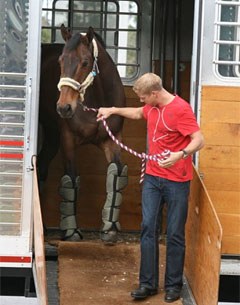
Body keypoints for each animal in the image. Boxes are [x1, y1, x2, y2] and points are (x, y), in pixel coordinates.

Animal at [37, 24, 127, 242]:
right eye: (61, 61)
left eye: (85, 62)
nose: (64, 107)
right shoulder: (68, 140)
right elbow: (71, 179)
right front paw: (71, 231)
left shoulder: (112, 140)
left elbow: (116, 173)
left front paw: (110, 228)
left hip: (52, 135)